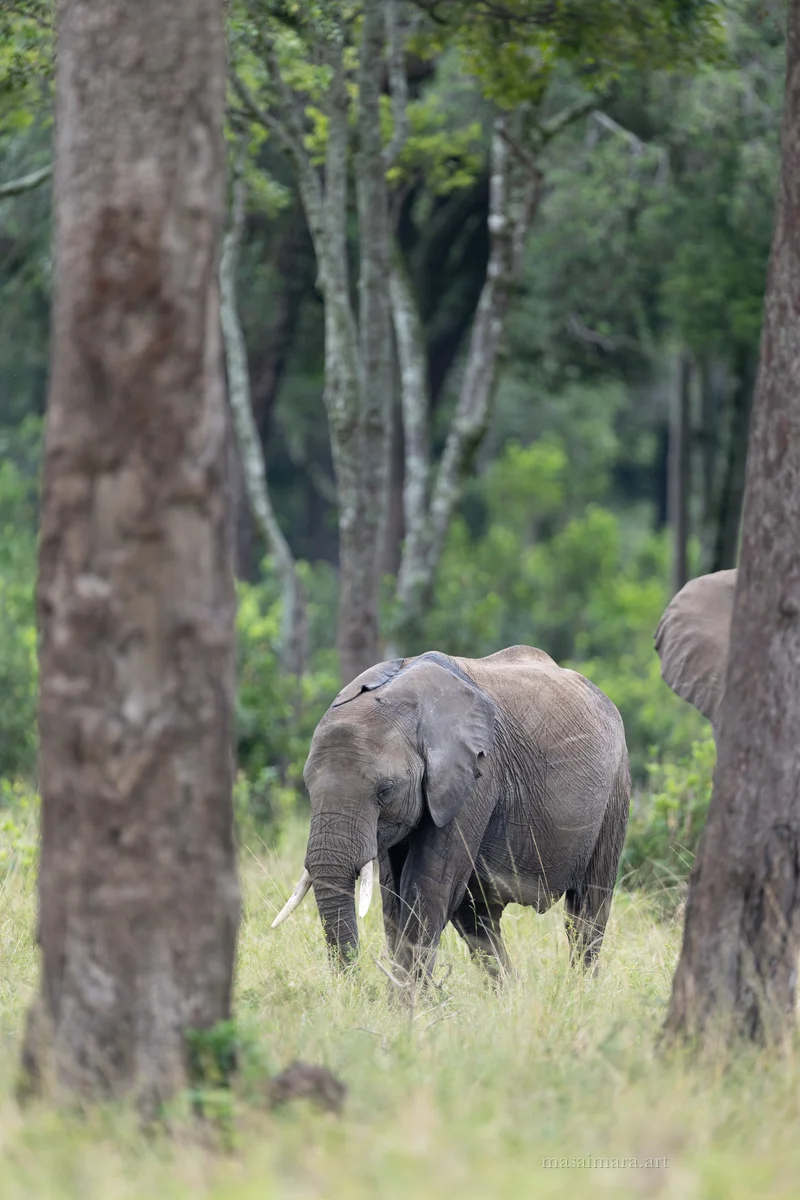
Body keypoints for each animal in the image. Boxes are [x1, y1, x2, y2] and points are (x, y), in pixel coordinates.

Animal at [271, 645, 631, 982]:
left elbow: (428, 887)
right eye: (308, 788)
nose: (353, 988)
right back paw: (510, 995)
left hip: (615, 790)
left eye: (385, 791)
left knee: (587, 909)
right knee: (478, 919)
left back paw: (579, 990)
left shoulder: (477, 776)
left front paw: (406, 1004)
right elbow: (394, 897)